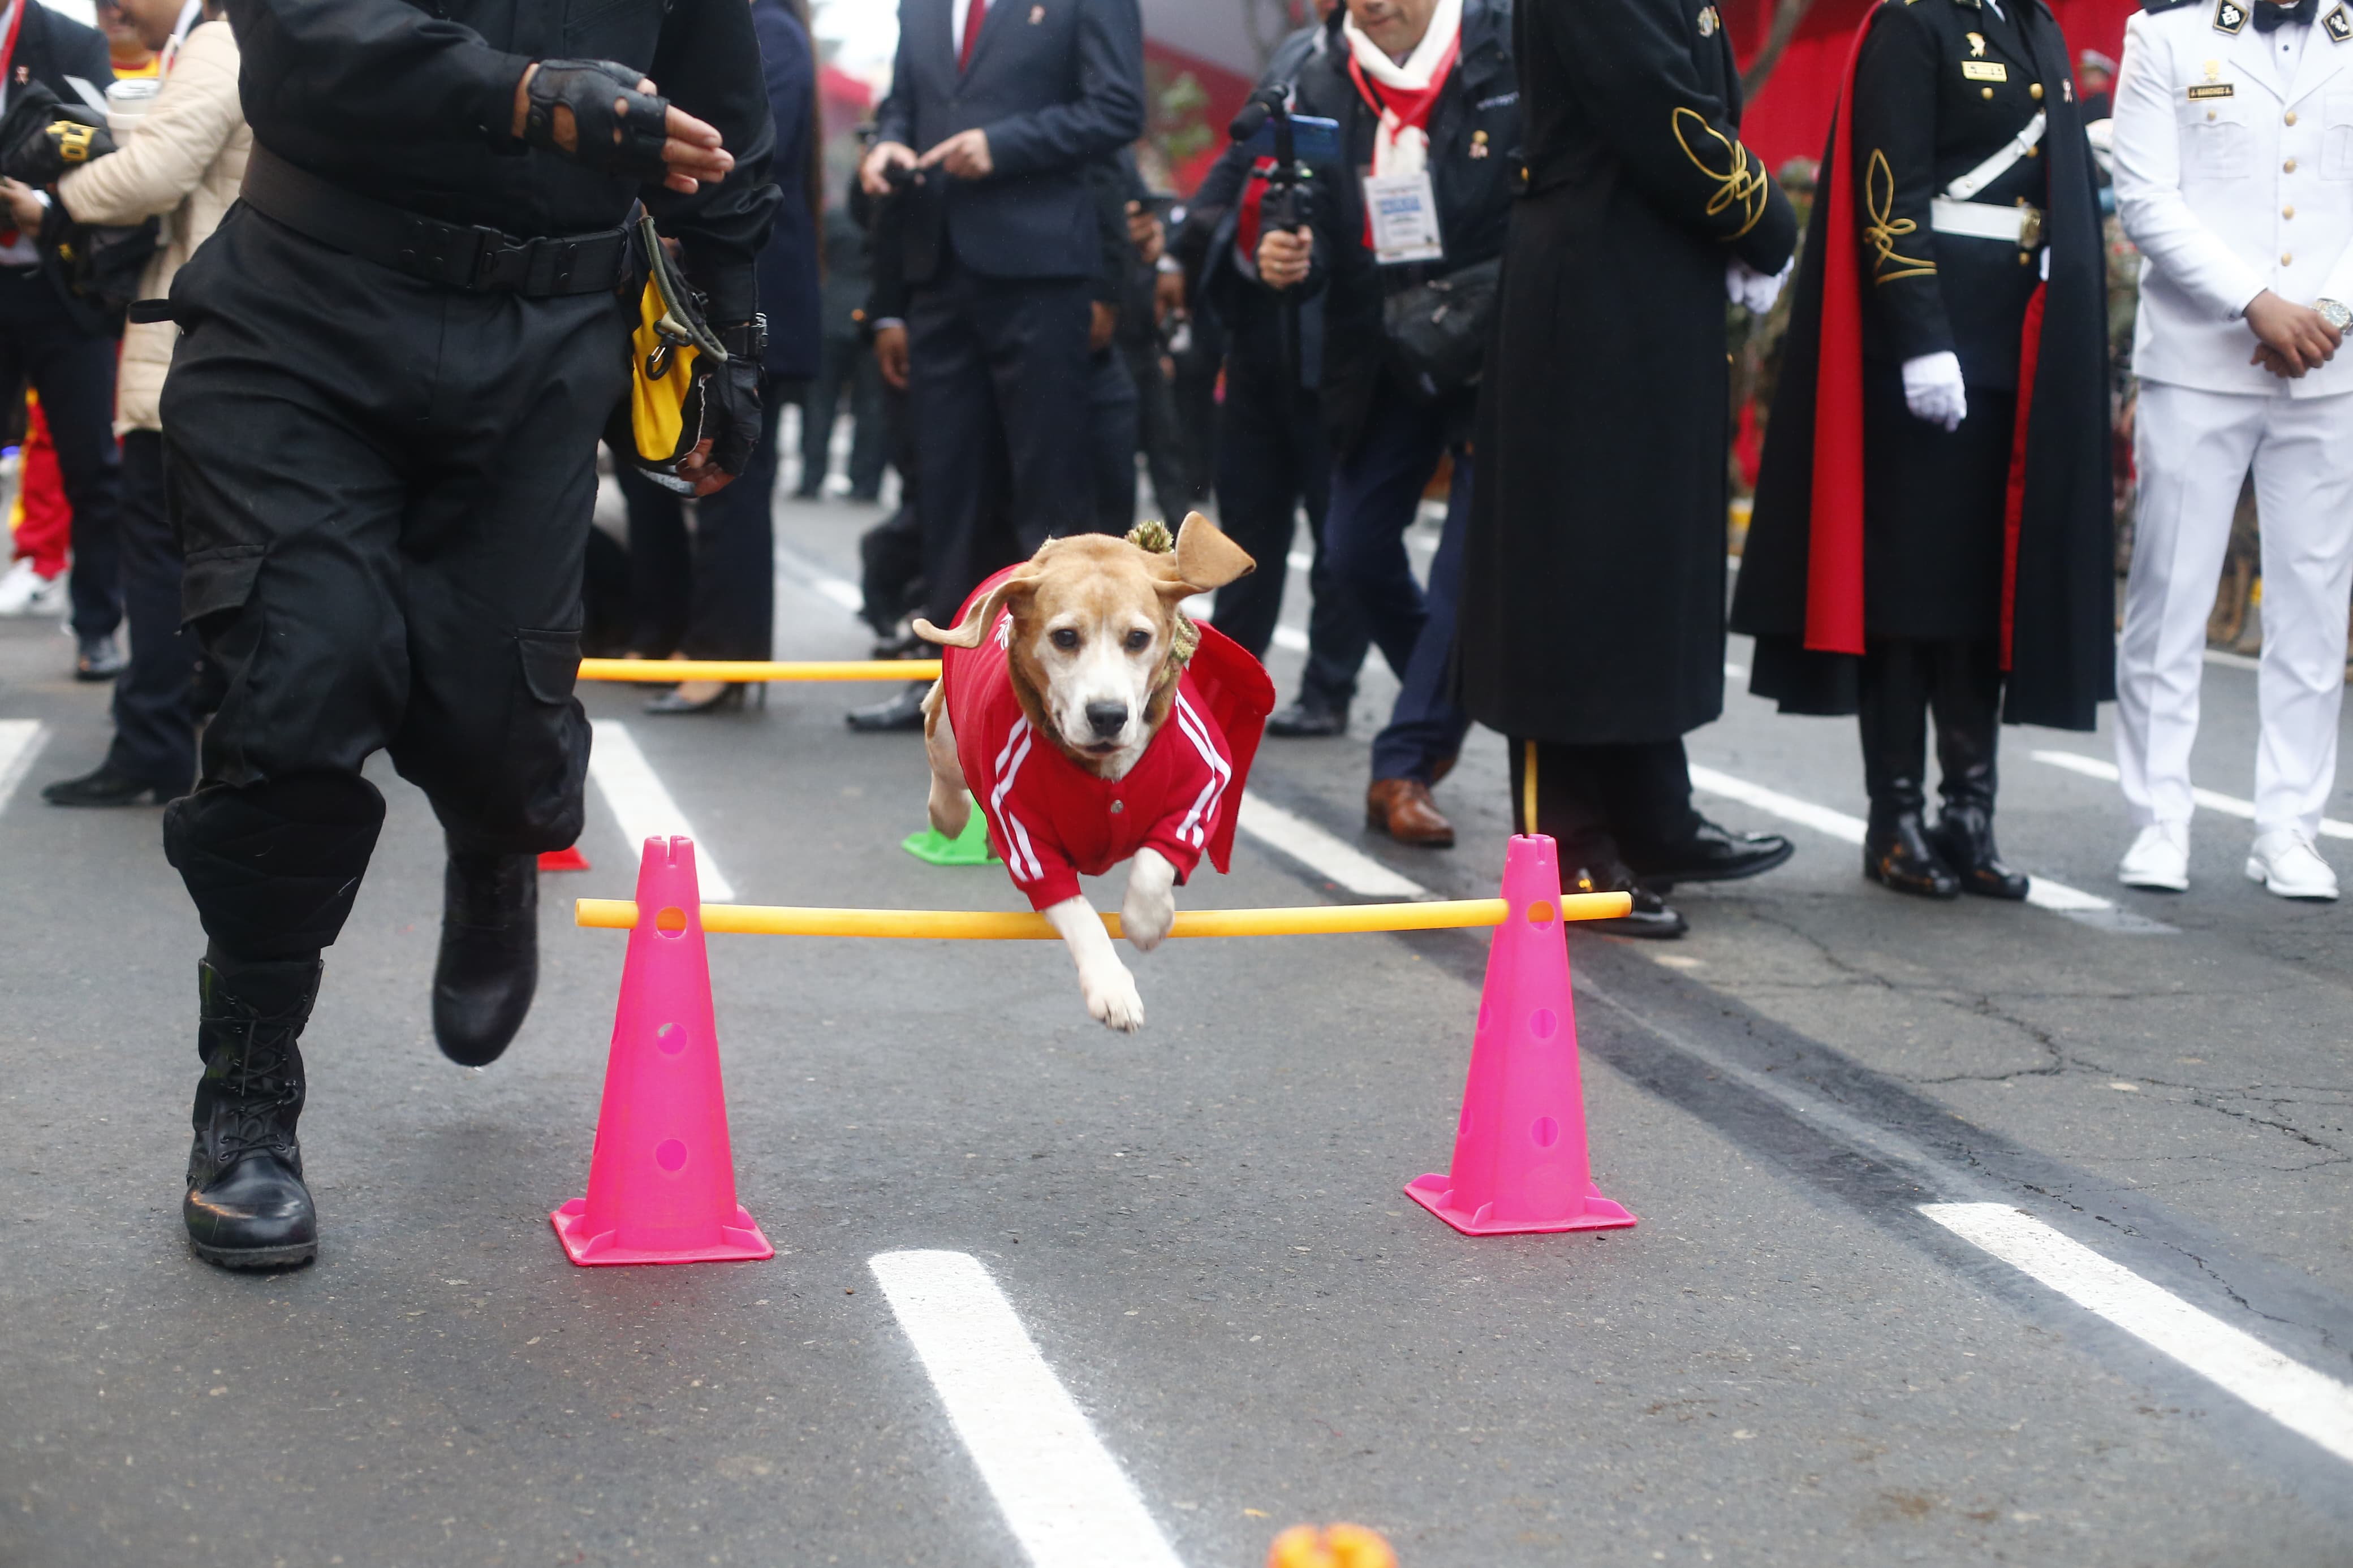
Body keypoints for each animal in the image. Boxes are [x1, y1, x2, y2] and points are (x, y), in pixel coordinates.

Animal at [913, 512, 1270, 1029]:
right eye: (1065, 637)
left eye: (1138, 638)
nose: (1107, 714)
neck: (1102, 765)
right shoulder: (1028, 840)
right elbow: (1079, 914)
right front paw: (1112, 987)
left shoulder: (1202, 787)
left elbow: (1155, 862)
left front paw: (1148, 920)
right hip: (945, 734)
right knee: (944, 772)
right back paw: (949, 813)